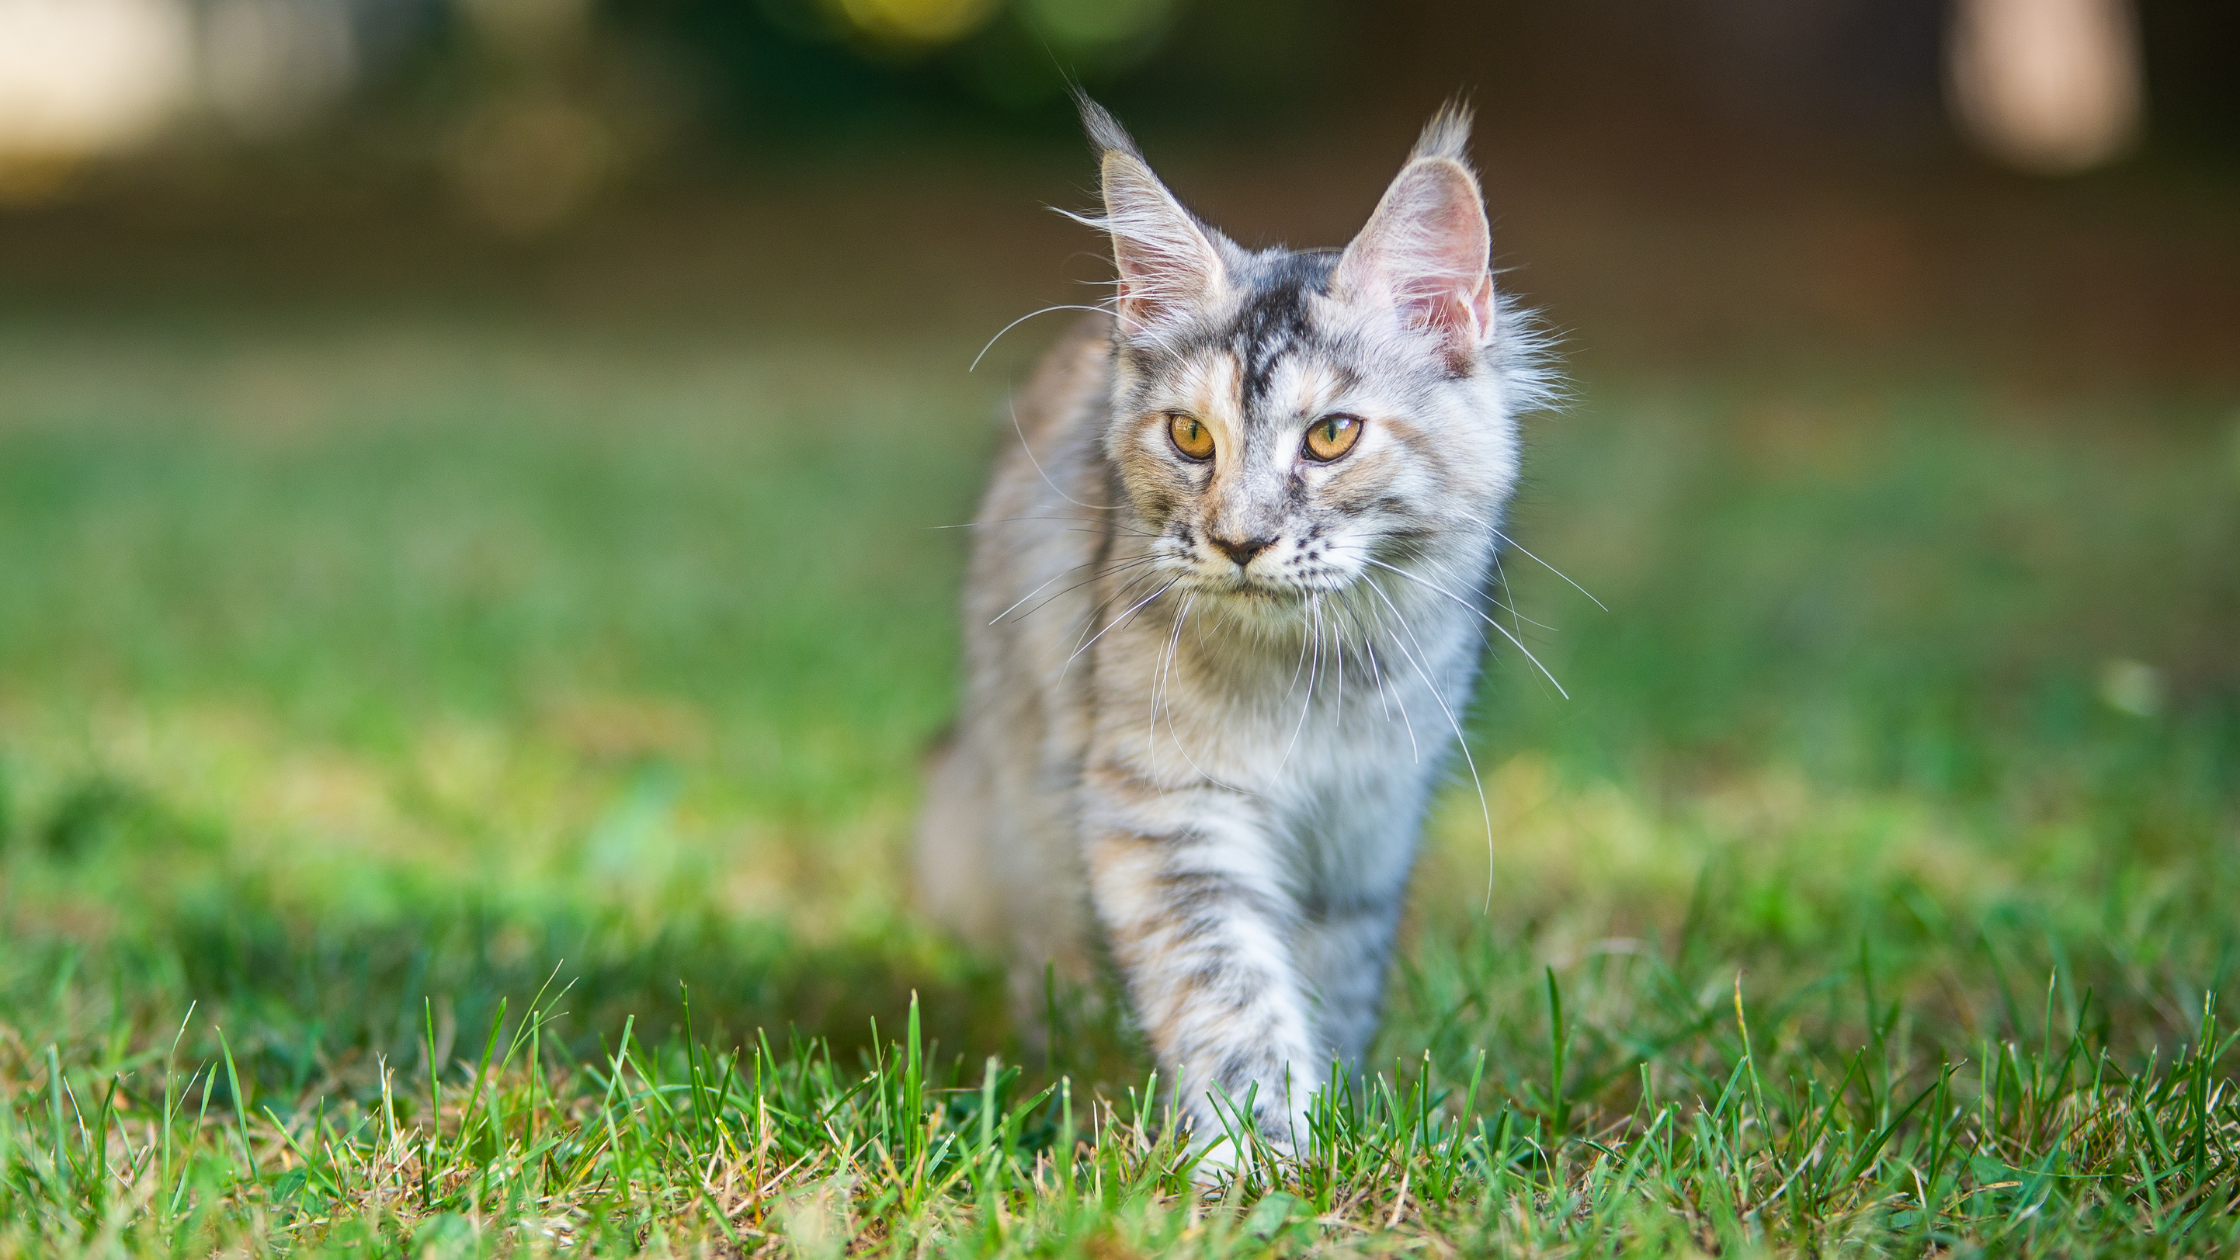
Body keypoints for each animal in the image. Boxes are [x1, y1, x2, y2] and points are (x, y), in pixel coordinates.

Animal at [918, 95, 1550, 1156]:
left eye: (1332, 436)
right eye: (1189, 437)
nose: (1240, 541)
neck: (1313, 681)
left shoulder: (1365, 832)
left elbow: (1329, 990)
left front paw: (1336, 1132)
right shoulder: (1166, 814)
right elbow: (1230, 993)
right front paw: (1263, 1157)